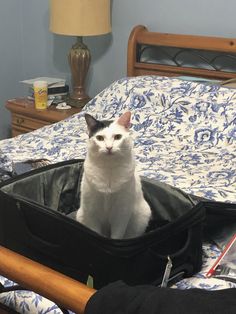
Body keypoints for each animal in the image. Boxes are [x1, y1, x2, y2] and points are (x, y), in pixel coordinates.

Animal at [76, 111, 152, 239]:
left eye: (117, 137)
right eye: (100, 138)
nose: (109, 147)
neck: (109, 169)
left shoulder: (121, 214)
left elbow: (117, 236)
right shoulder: (92, 212)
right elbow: (95, 232)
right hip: (81, 215)